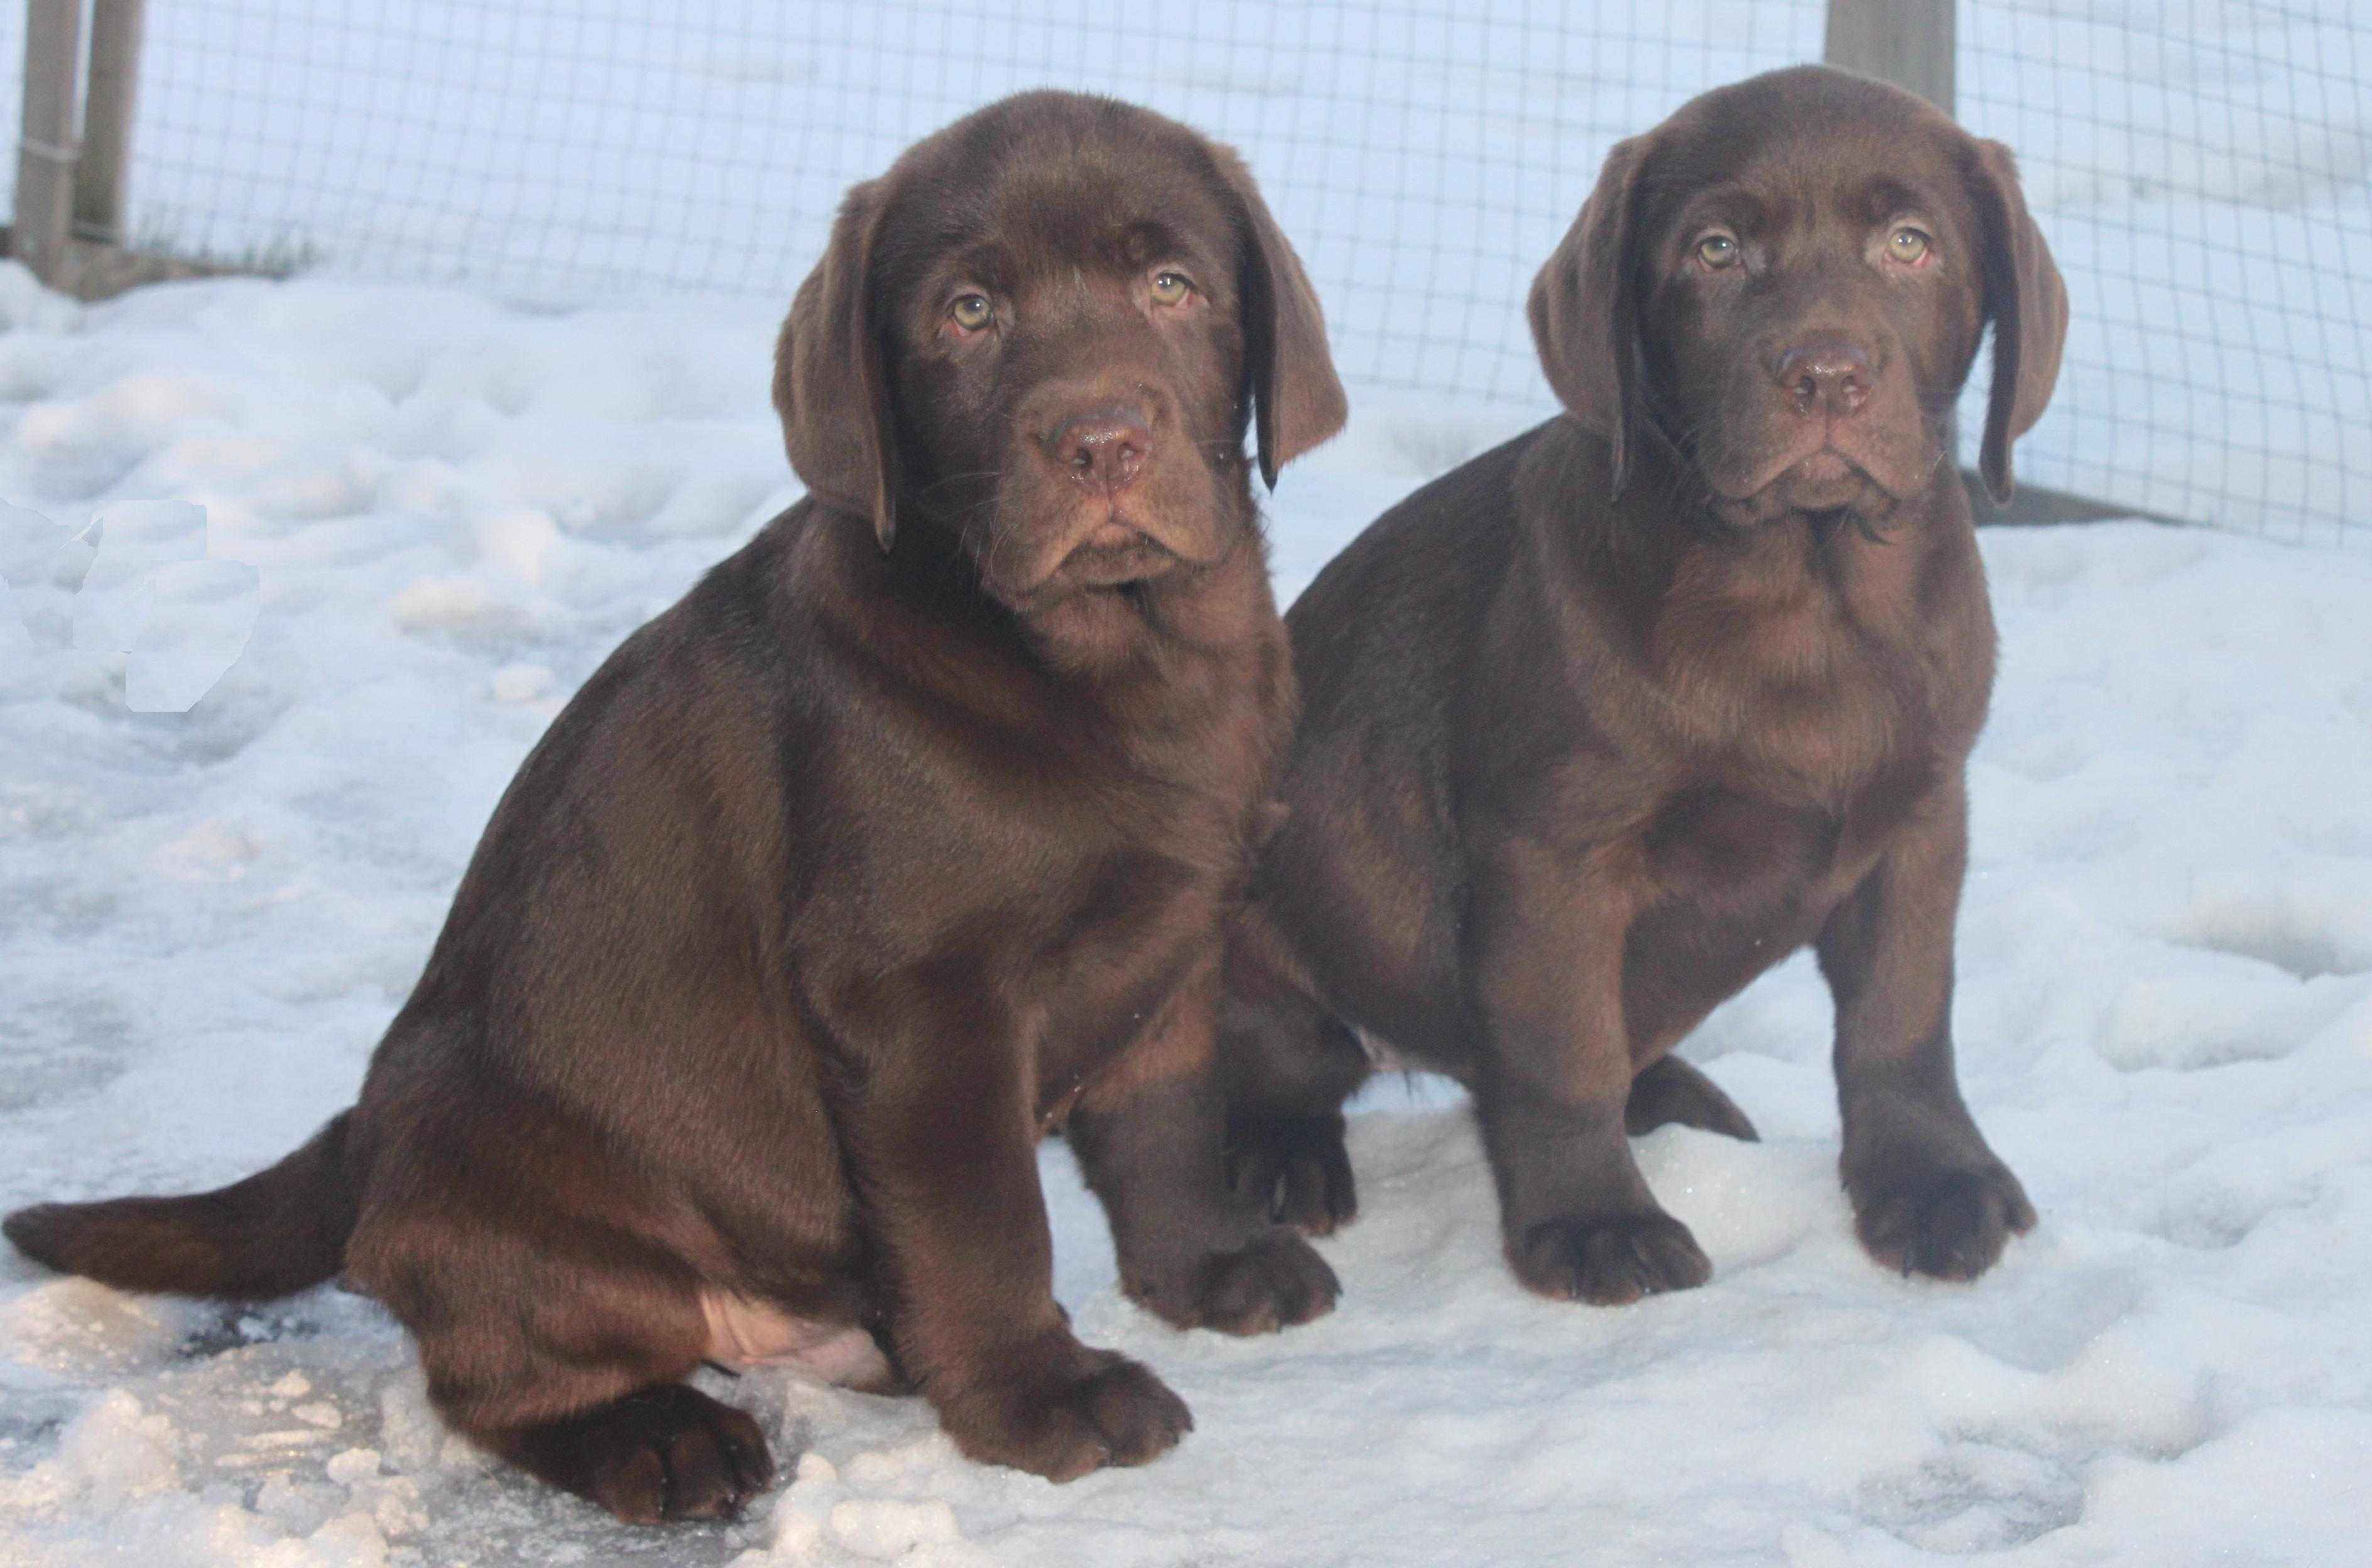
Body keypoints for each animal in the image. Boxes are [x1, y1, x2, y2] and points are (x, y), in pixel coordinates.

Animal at [4, 92, 1356, 1518]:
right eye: (970, 312)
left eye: (1173, 287)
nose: (1101, 440)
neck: (1115, 655)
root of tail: (361, 1134)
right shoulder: (921, 1001)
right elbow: (986, 1219)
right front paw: (1041, 1397)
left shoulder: (1175, 931)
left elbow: (1167, 1116)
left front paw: (1206, 1267)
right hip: (520, 1195)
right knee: (493, 1375)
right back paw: (661, 1438)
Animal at [1214, 67, 2068, 1300]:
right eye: (1716, 251)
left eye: (1910, 244)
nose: (1825, 374)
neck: (1807, 596)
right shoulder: (1555, 852)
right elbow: (1563, 1048)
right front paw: (1592, 1222)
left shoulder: (1921, 818)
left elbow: (1904, 1018)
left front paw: (1931, 1181)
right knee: (1269, 1052)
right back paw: (1281, 1152)